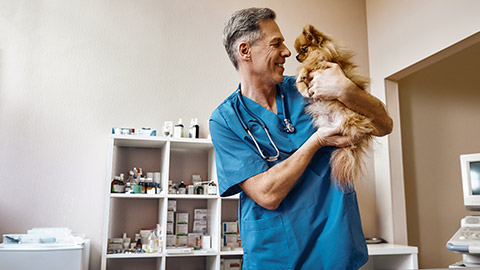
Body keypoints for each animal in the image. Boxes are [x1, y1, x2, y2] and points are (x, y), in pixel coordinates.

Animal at [292, 24, 376, 190]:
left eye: (303, 49)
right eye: (298, 51)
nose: (297, 57)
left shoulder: (322, 64)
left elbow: (308, 68)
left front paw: (303, 77)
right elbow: (301, 81)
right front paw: (303, 87)